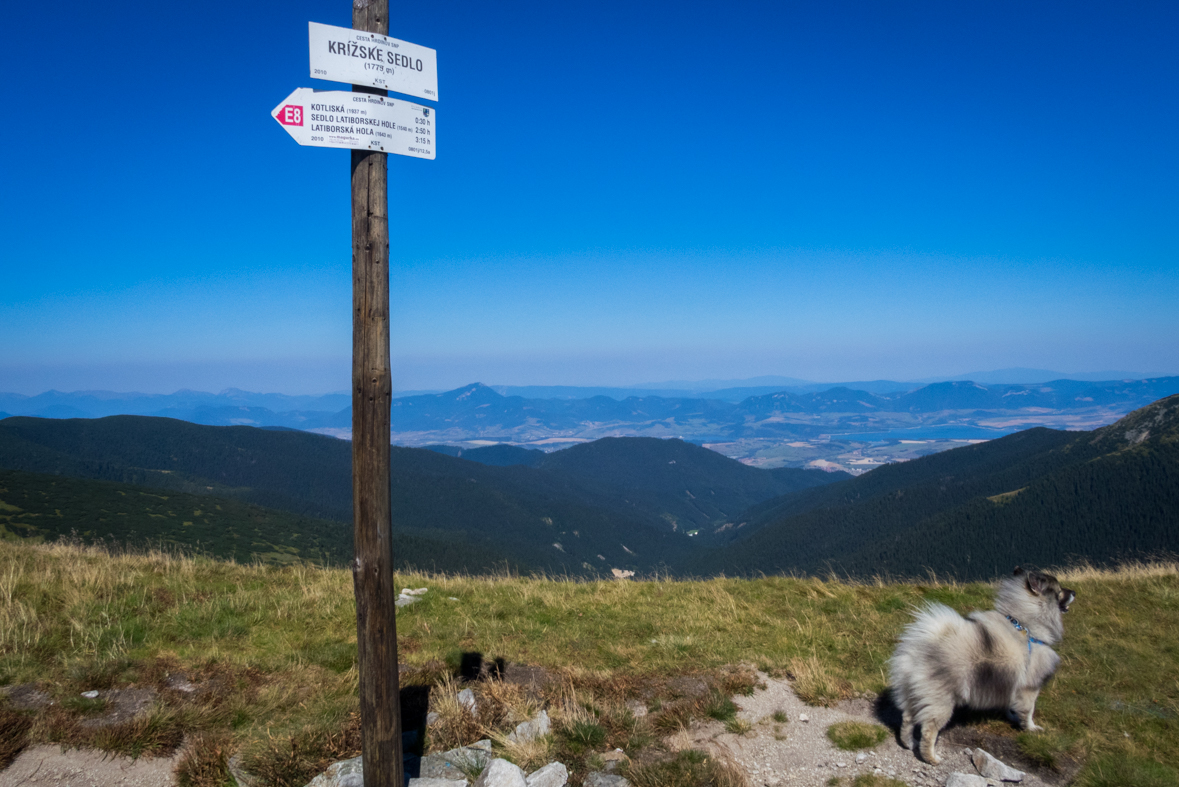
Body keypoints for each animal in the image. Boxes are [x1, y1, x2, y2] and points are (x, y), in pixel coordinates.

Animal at [891, 565, 1079, 763]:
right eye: (1059, 591)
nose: (1074, 592)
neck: (1025, 625)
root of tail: (919, 648)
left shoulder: (1010, 683)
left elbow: (1011, 703)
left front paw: (1012, 716)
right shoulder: (1030, 687)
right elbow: (1028, 711)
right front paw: (1031, 728)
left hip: (912, 692)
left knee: (907, 719)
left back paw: (907, 743)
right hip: (940, 702)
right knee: (928, 730)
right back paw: (931, 758)